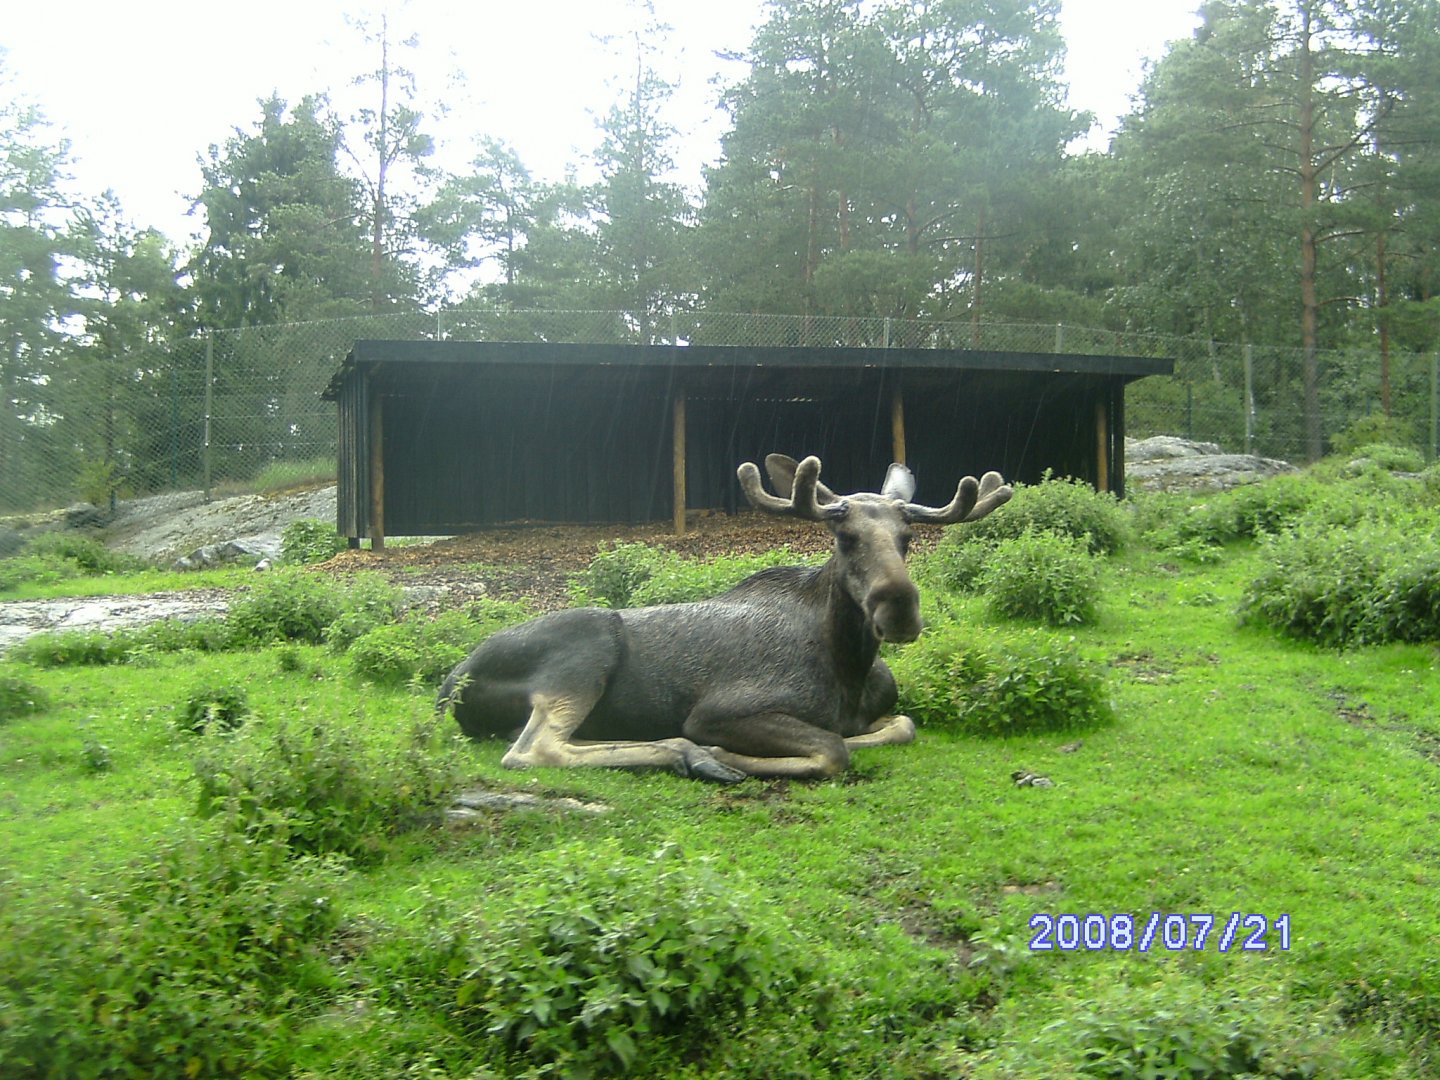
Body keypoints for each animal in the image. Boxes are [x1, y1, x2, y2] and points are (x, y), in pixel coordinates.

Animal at [437, 454, 1011, 782]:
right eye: (845, 537)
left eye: (907, 538)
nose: (900, 609)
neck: (848, 665)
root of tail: (447, 688)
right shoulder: (718, 711)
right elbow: (831, 750)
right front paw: (724, 752)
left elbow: (901, 726)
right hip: (586, 646)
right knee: (533, 750)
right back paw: (692, 754)